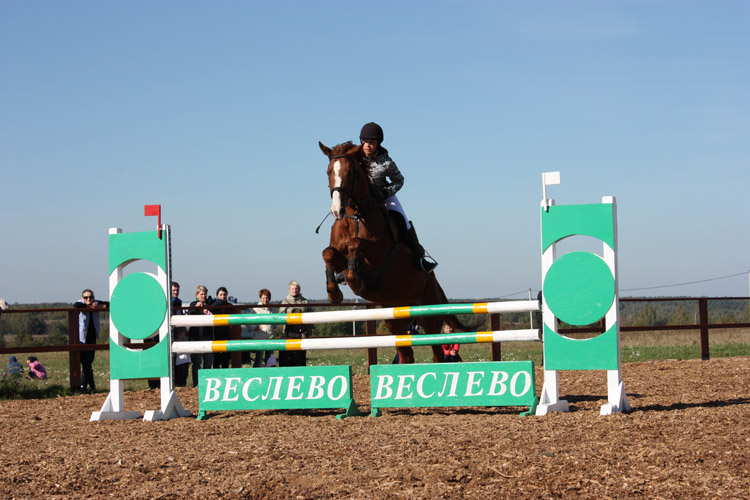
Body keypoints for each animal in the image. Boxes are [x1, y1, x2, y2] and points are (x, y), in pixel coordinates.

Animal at [318, 141, 464, 364]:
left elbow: (355, 244)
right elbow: (327, 253)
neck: (354, 217)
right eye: (328, 172)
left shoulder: (377, 254)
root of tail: (434, 282)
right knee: (407, 354)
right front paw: (334, 293)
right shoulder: (339, 255)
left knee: (437, 352)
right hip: (396, 320)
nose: (337, 211)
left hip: (429, 315)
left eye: (350, 172)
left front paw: (355, 283)